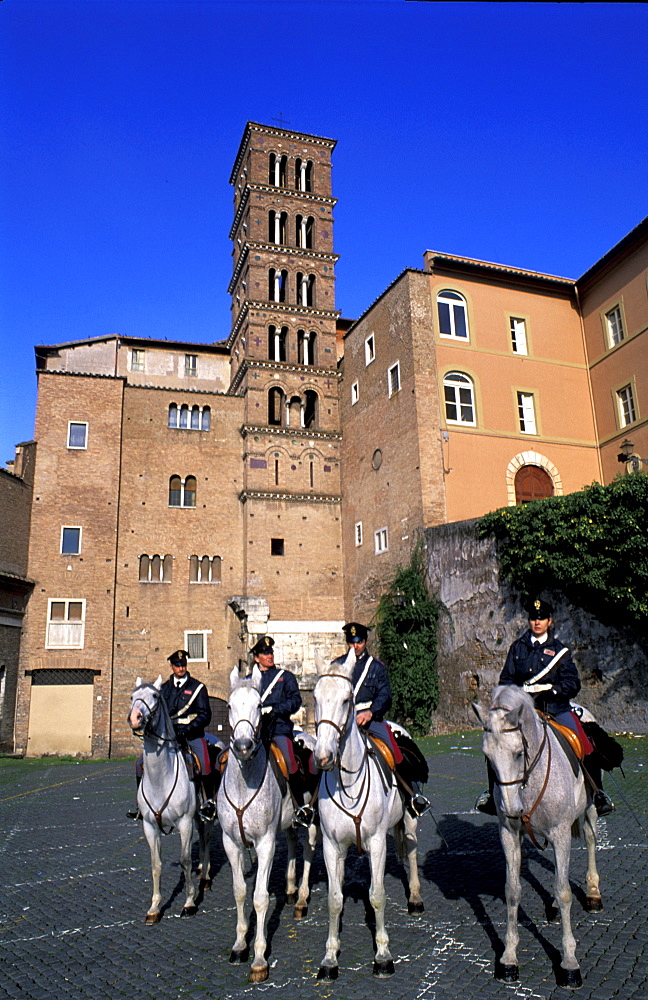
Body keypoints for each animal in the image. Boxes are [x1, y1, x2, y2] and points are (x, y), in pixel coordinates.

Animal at [128, 680, 214, 920]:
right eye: (132, 697)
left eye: (155, 696)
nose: (135, 718)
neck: (161, 777)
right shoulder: (149, 825)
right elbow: (155, 863)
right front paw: (155, 908)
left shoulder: (184, 822)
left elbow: (185, 860)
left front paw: (189, 902)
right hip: (196, 816)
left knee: (207, 838)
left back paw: (205, 877)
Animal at [218, 664, 316, 984]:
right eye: (229, 706)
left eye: (259, 706)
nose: (243, 746)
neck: (244, 782)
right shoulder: (231, 843)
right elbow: (239, 891)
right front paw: (239, 946)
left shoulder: (265, 844)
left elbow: (260, 898)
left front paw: (259, 958)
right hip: (287, 825)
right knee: (293, 842)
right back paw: (290, 888)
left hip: (313, 819)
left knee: (308, 850)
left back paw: (301, 899)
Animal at [312, 644, 422, 980]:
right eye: (315, 698)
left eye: (346, 700)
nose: (323, 756)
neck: (347, 782)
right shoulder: (332, 846)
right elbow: (334, 899)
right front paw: (330, 957)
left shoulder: (376, 843)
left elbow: (377, 895)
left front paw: (383, 955)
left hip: (410, 819)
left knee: (412, 851)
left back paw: (415, 897)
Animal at [470, 684, 604, 988]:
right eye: (488, 757)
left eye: (519, 752)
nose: (512, 809)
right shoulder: (510, 835)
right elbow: (512, 890)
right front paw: (509, 957)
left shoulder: (561, 833)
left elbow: (565, 893)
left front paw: (569, 963)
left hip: (589, 808)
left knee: (591, 840)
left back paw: (593, 892)